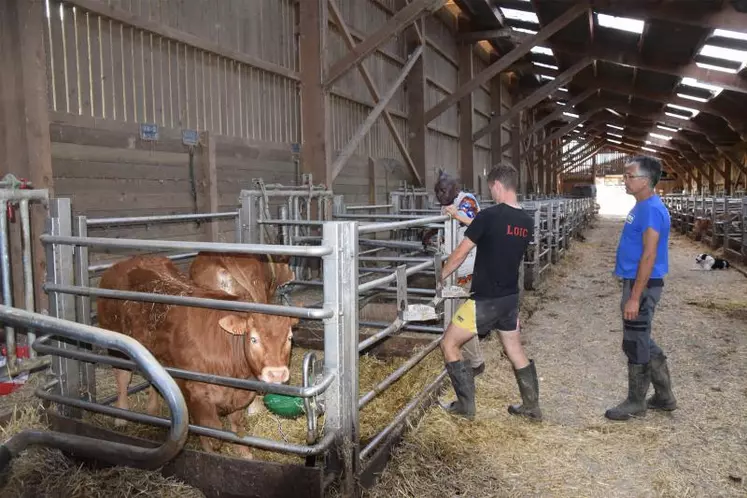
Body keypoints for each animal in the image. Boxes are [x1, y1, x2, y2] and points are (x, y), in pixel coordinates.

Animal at [98, 256, 300, 460]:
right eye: (253, 339)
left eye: (289, 337)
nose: (277, 374)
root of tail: (125, 263)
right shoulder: (197, 393)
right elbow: (211, 430)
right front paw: (210, 452)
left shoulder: (239, 396)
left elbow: (237, 425)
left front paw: (245, 454)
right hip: (116, 342)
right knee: (122, 377)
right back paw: (121, 417)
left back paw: (152, 410)